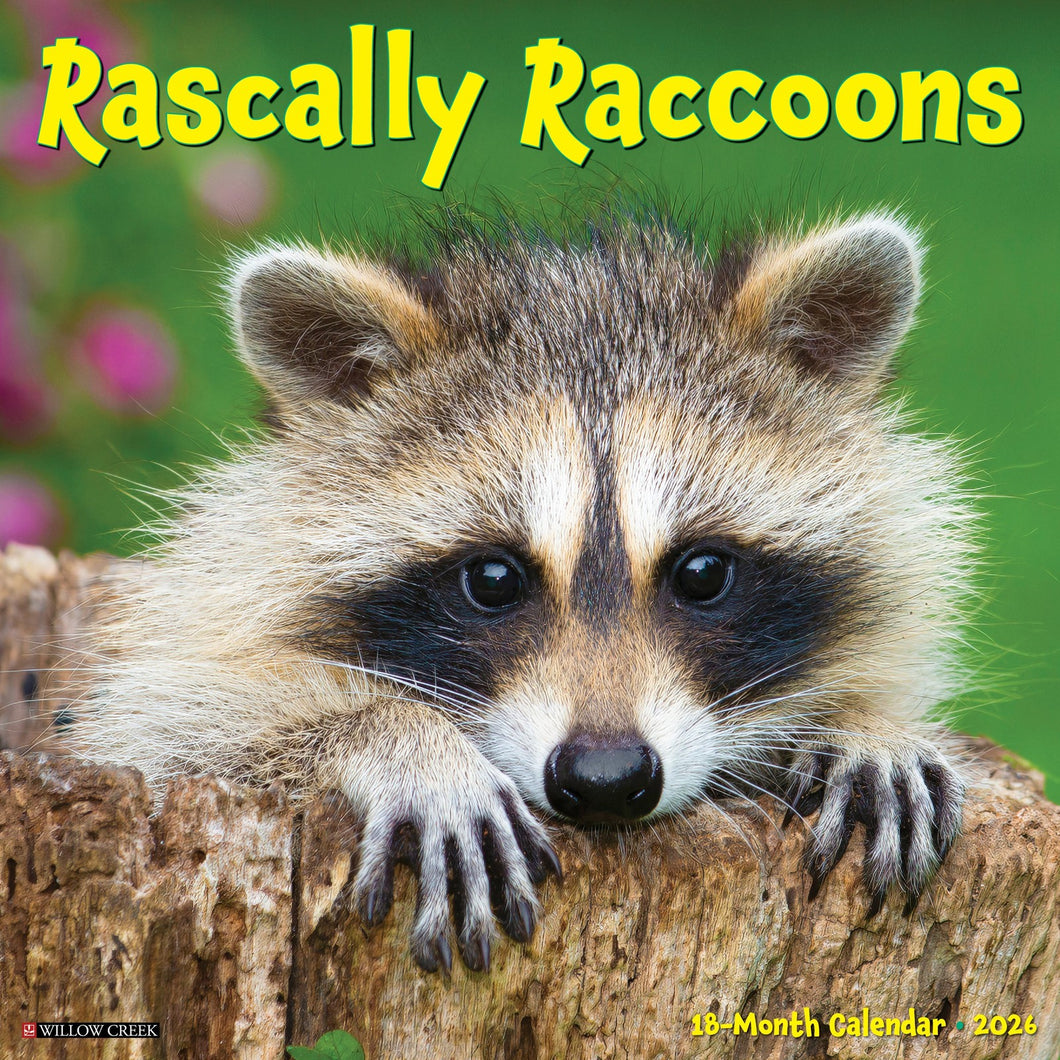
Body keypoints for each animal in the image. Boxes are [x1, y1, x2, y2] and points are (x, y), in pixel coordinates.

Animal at [73, 204, 975, 974]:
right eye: (494, 579)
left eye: (703, 573)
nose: (606, 779)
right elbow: (173, 734)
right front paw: (395, 735)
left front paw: (865, 722)